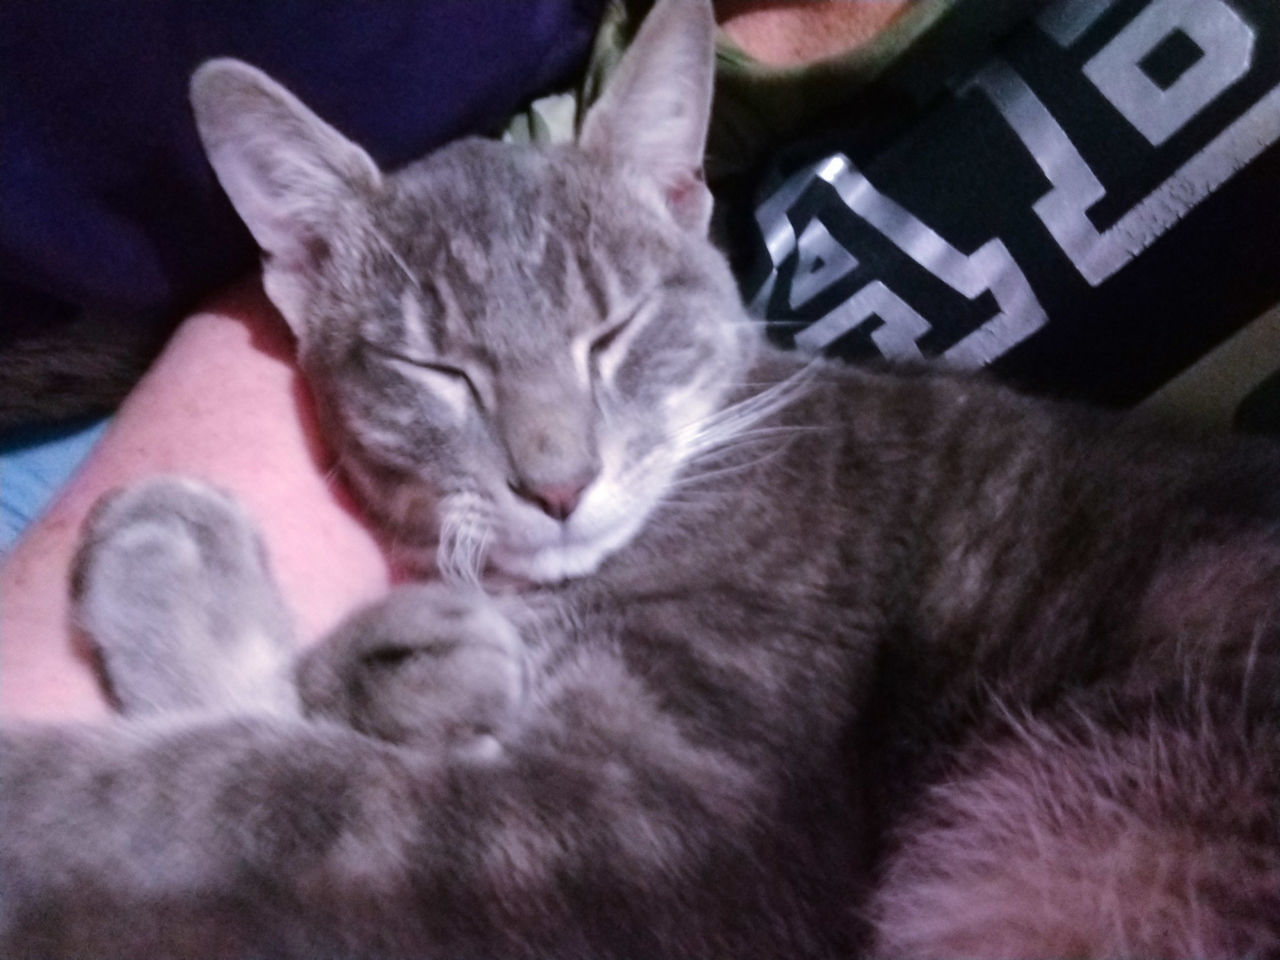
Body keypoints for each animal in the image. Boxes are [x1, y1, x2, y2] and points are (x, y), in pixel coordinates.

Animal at [2, 0, 1280, 957]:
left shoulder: (656, 833)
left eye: (611, 335)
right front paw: (196, 589)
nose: (558, 485)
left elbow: (214, 806)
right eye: (436, 370)